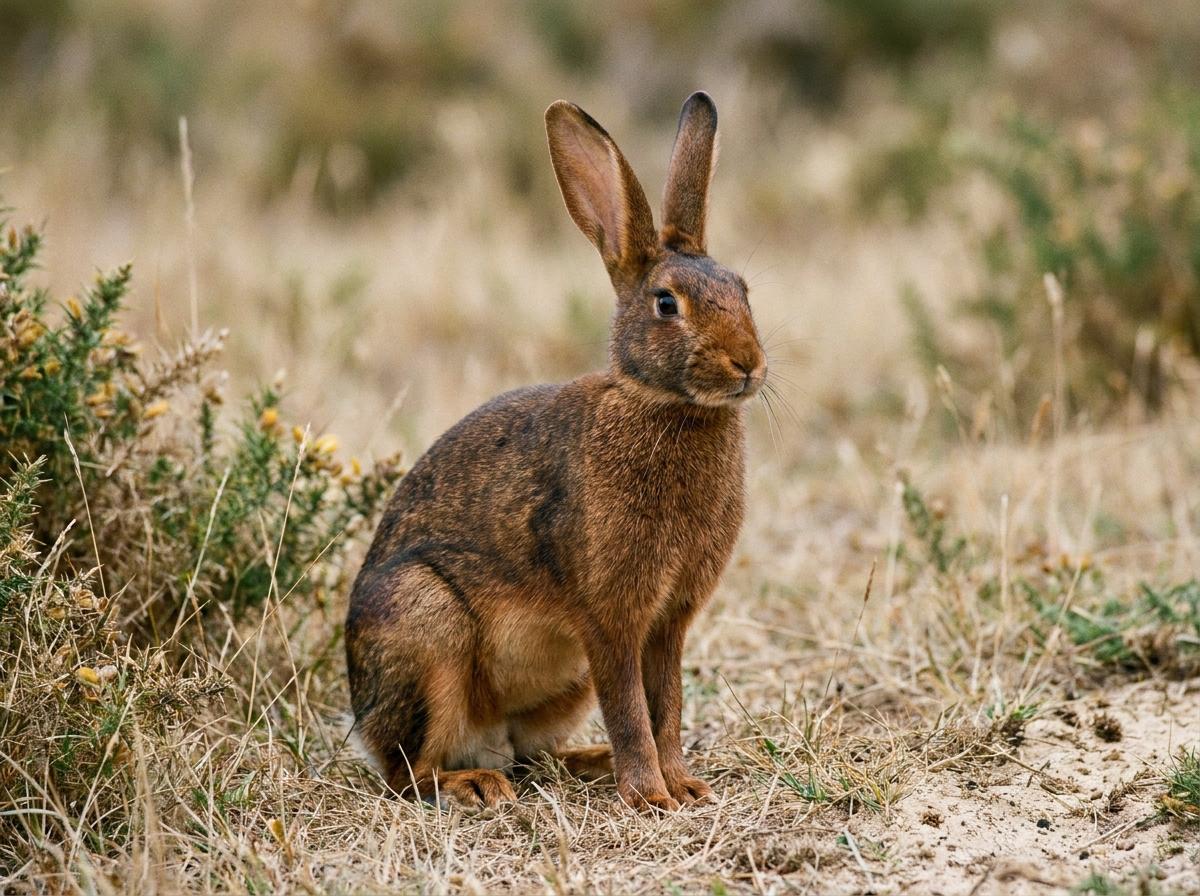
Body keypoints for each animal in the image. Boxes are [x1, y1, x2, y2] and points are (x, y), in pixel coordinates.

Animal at [346, 91, 767, 811]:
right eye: (666, 304)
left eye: (742, 288)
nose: (748, 364)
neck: (664, 404)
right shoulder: (609, 618)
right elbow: (631, 709)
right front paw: (650, 796)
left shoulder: (668, 622)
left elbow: (667, 706)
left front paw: (683, 786)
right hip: (427, 628)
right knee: (408, 773)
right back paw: (474, 784)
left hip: (561, 684)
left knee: (530, 755)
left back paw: (582, 763)